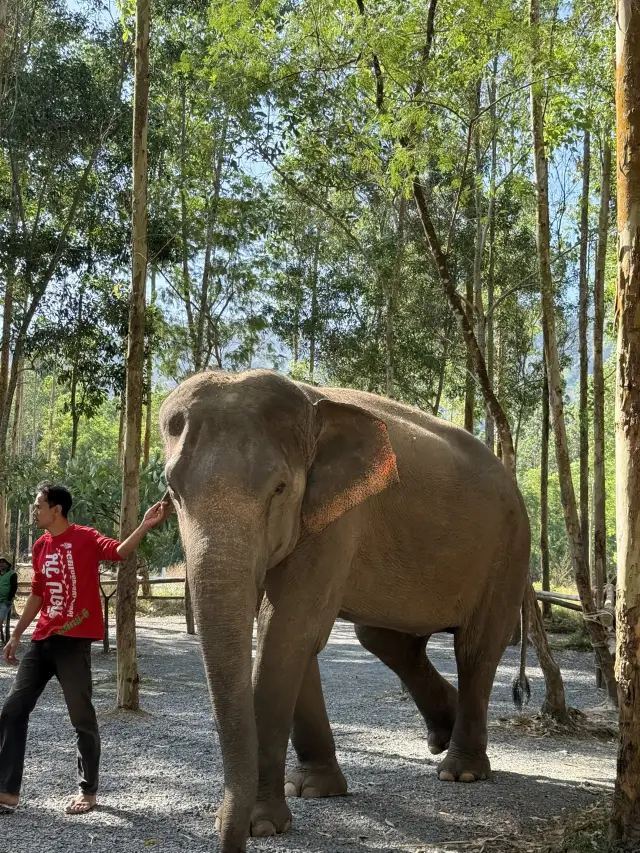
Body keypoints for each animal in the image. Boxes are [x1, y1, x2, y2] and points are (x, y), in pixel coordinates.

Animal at [159, 369, 530, 853]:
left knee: (476, 648)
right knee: (385, 641)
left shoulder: (336, 519)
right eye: (172, 490)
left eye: (280, 488)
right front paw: (313, 790)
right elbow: (291, 636)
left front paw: (264, 824)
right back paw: (442, 732)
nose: (229, 839)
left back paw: (461, 771)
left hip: (508, 552)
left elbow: (288, 629)